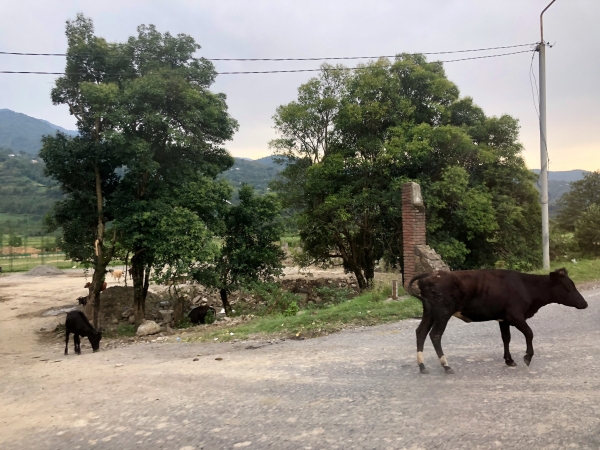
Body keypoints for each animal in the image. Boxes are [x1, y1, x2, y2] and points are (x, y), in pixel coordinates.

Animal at [407, 268, 588, 374]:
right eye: (567, 288)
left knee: (420, 332)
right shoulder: (516, 316)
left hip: (430, 312)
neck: (526, 287)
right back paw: (446, 365)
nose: (584, 303)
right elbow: (529, 333)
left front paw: (509, 360)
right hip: (443, 312)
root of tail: (430, 274)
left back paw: (422, 366)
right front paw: (527, 357)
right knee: (435, 335)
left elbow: (506, 338)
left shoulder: (504, 318)